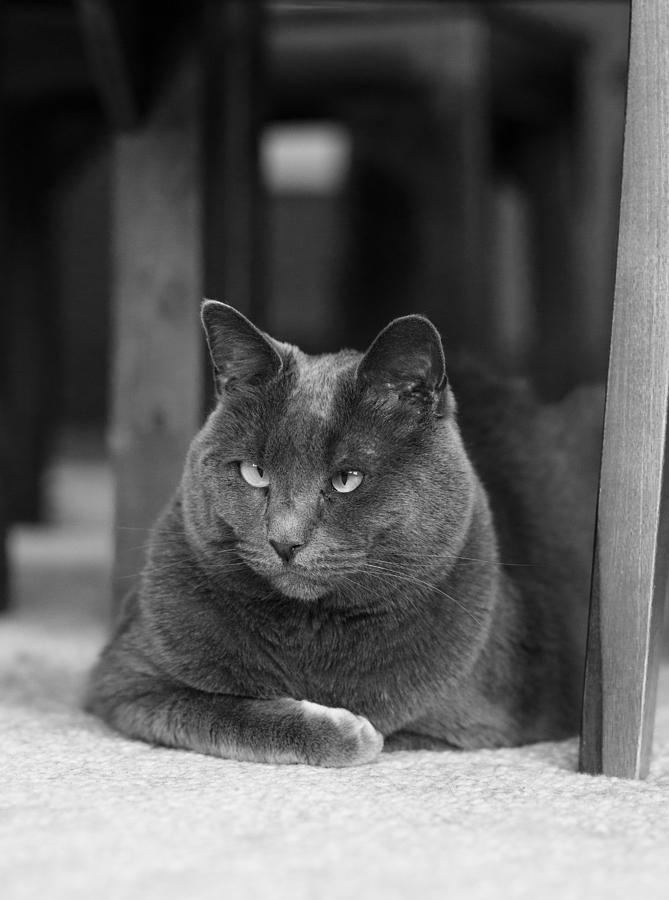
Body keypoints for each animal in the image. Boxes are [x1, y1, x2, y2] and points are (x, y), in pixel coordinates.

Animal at [83, 302, 600, 768]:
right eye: (254, 472)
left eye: (346, 479)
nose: (284, 540)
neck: (309, 632)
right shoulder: (124, 682)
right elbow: (213, 709)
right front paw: (342, 731)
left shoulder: (476, 725)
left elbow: (398, 726)